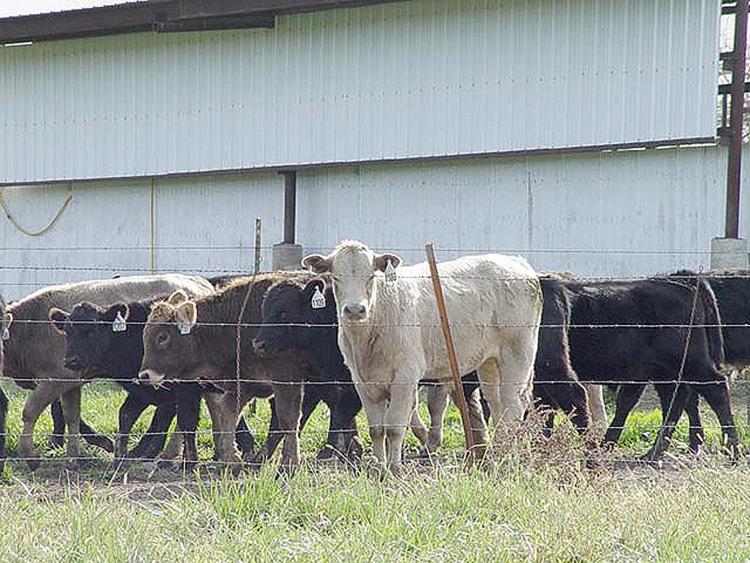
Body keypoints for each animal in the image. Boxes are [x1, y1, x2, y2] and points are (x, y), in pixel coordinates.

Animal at [1, 275, 214, 470]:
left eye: (91, 332)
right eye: (67, 331)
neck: (30, 329)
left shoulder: (58, 379)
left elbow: (32, 411)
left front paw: (31, 455)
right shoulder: (69, 382)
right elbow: (70, 415)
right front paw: (73, 455)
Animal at [49, 299, 256, 468]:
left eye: (91, 331)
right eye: (67, 331)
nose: (70, 360)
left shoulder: (185, 389)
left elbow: (183, 420)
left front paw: (188, 461)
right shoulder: (144, 386)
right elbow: (127, 414)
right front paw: (121, 456)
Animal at [138, 274, 319, 473]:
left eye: (162, 337)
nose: (144, 376)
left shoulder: (286, 380)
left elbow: (288, 419)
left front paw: (290, 463)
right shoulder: (244, 383)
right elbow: (228, 414)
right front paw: (231, 459)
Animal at [302, 240, 543, 474]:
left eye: (371, 276)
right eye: (335, 277)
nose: (355, 310)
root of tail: (517, 262)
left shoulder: (405, 377)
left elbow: (394, 428)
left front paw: (395, 471)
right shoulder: (362, 382)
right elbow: (377, 430)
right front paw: (379, 470)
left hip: (517, 355)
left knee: (513, 408)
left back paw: (506, 459)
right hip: (489, 363)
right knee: (497, 404)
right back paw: (499, 455)